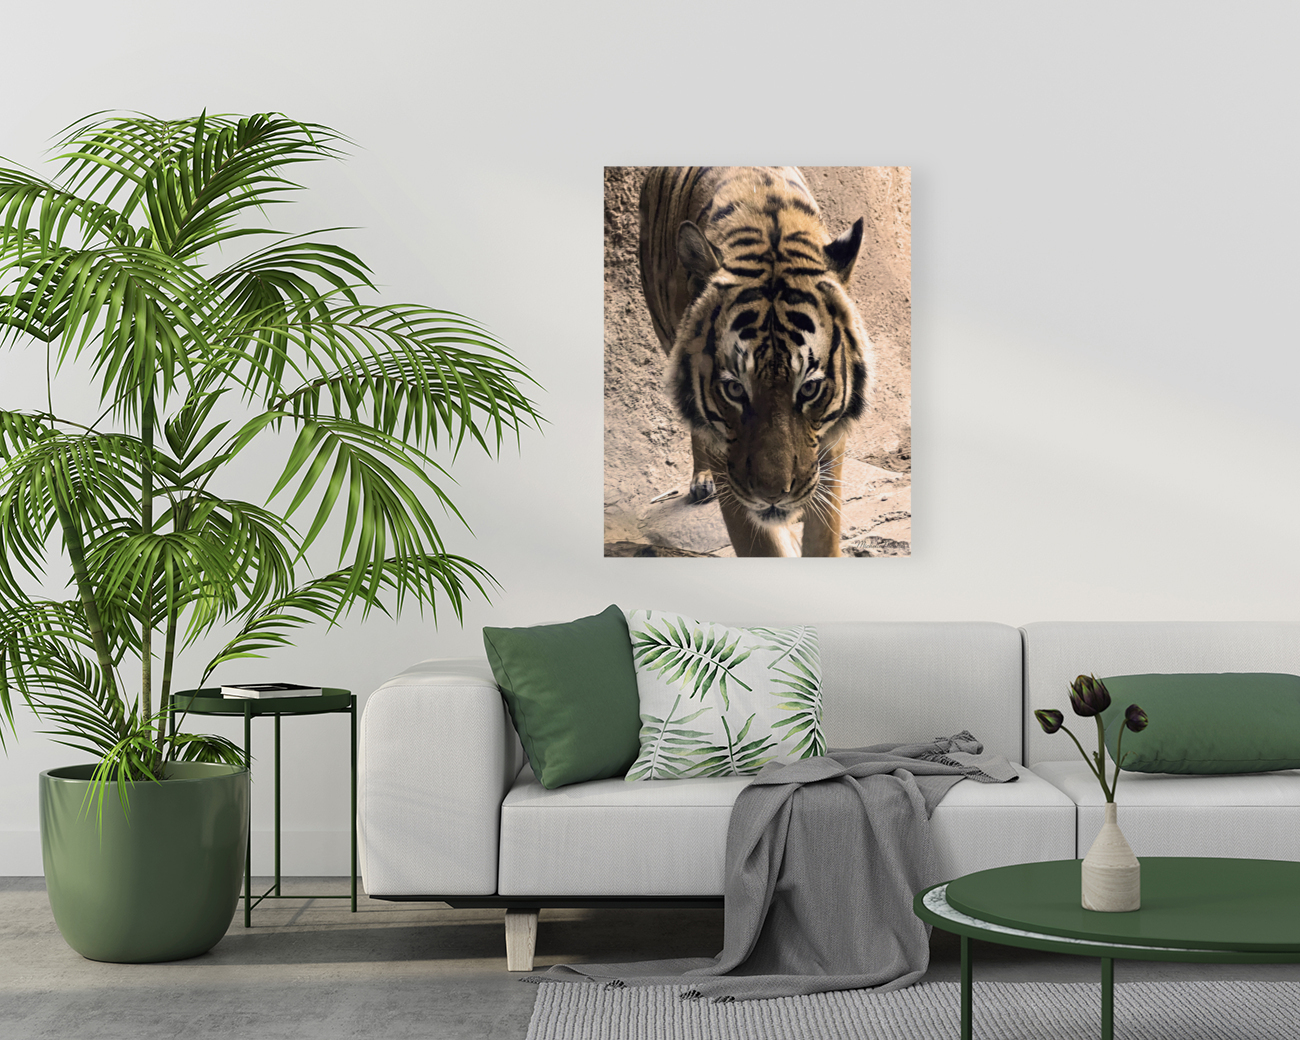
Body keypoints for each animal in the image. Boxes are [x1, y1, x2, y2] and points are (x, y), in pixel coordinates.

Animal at [638, 167, 874, 557]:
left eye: (809, 389)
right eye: (734, 389)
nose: (773, 496)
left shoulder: (829, 441)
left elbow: (824, 531)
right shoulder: (729, 460)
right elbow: (759, 542)